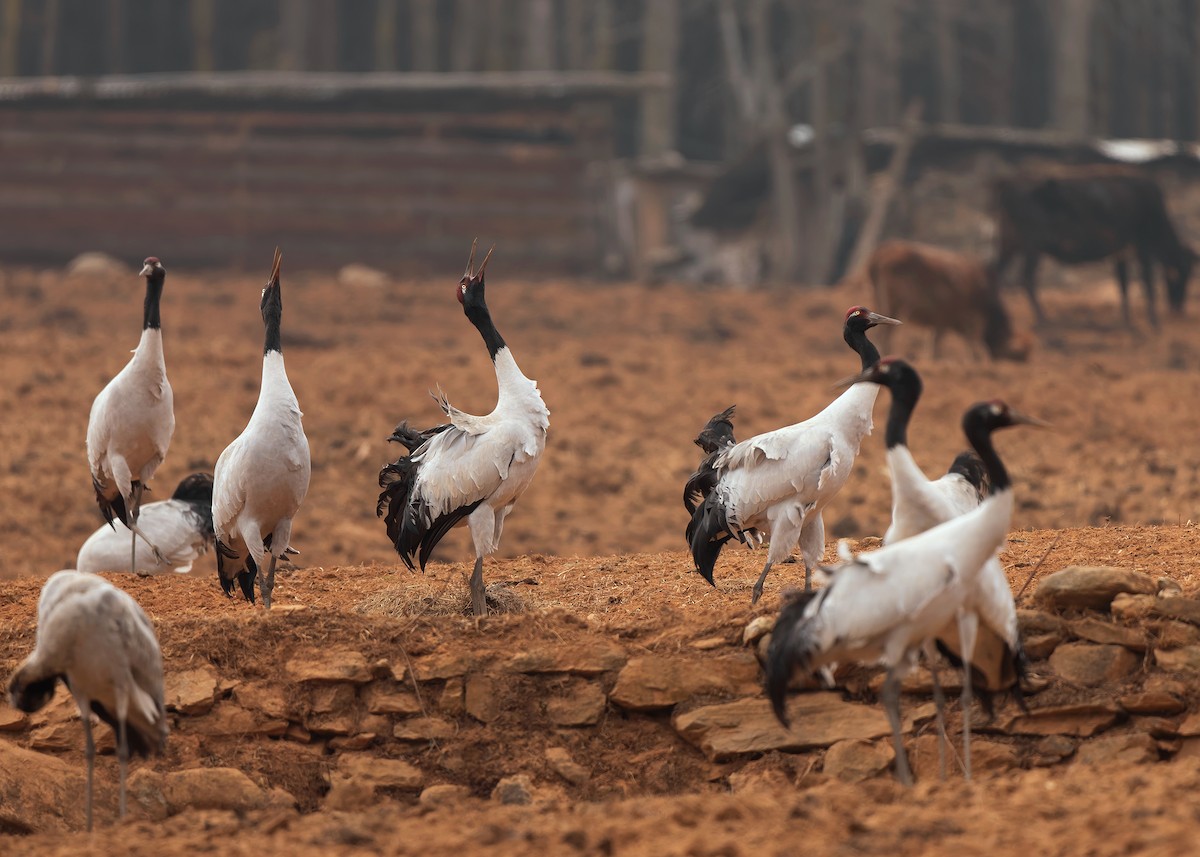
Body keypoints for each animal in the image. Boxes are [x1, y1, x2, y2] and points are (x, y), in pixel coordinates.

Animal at [868, 240, 1027, 360]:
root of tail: (883, 251)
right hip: (894, 306)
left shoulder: (942, 319)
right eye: (1016, 355)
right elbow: (963, 339)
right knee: (885, 333)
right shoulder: (954, 316)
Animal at [988, 165, 1195, 328]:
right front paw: (1153, 321)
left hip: (1009, 244)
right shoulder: (1143, 246)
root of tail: (1010, 182)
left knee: (997, 272)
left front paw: (1127, 320)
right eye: (1183, 275)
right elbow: (1147, 282)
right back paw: (1044, 320)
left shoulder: (1121, 251)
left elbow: (1123, 284)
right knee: (1026, 279)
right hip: (1033, 246)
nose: (1178, 308)